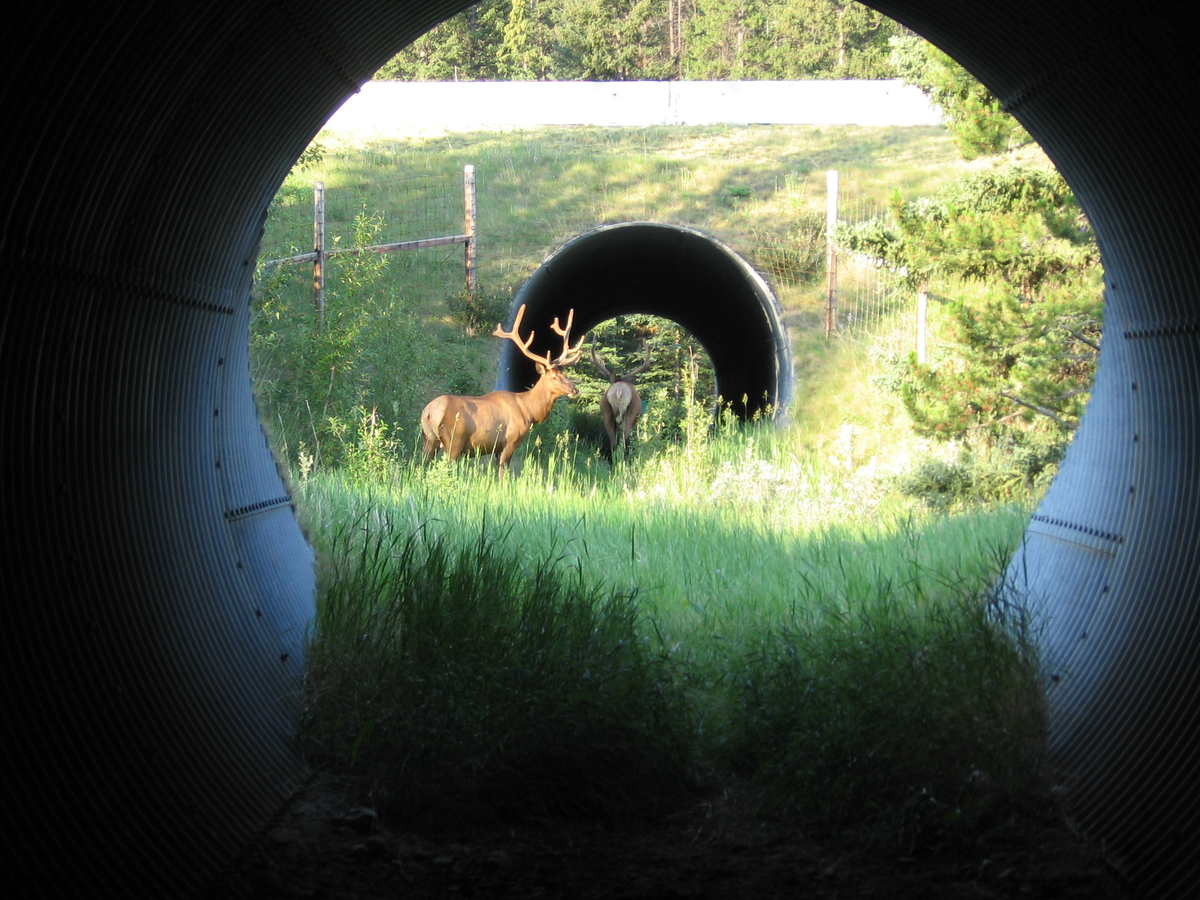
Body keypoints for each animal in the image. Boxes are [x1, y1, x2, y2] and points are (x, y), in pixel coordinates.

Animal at [422, 303, 585, 472]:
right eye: (554, 377)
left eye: (564, 375)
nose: (574, 390)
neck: (529, 412)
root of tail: (429, 411)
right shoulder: (510, 442)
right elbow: (503, 472)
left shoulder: (497, 448)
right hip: (454, 440)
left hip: (429, 439)